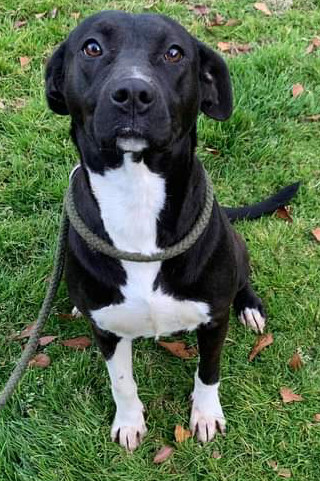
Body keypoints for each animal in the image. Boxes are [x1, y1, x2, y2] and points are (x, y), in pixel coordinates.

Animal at [44, 12, 298, 454]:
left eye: (175, 53)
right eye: (92, 47)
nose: (132, 92)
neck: (138, 197)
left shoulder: (213, 320)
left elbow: (208, 374)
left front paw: (206, 417)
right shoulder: (107, 332)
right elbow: (121, 382)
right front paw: (129, 423)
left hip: (236, 248)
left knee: (243, 279)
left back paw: (250, 307)